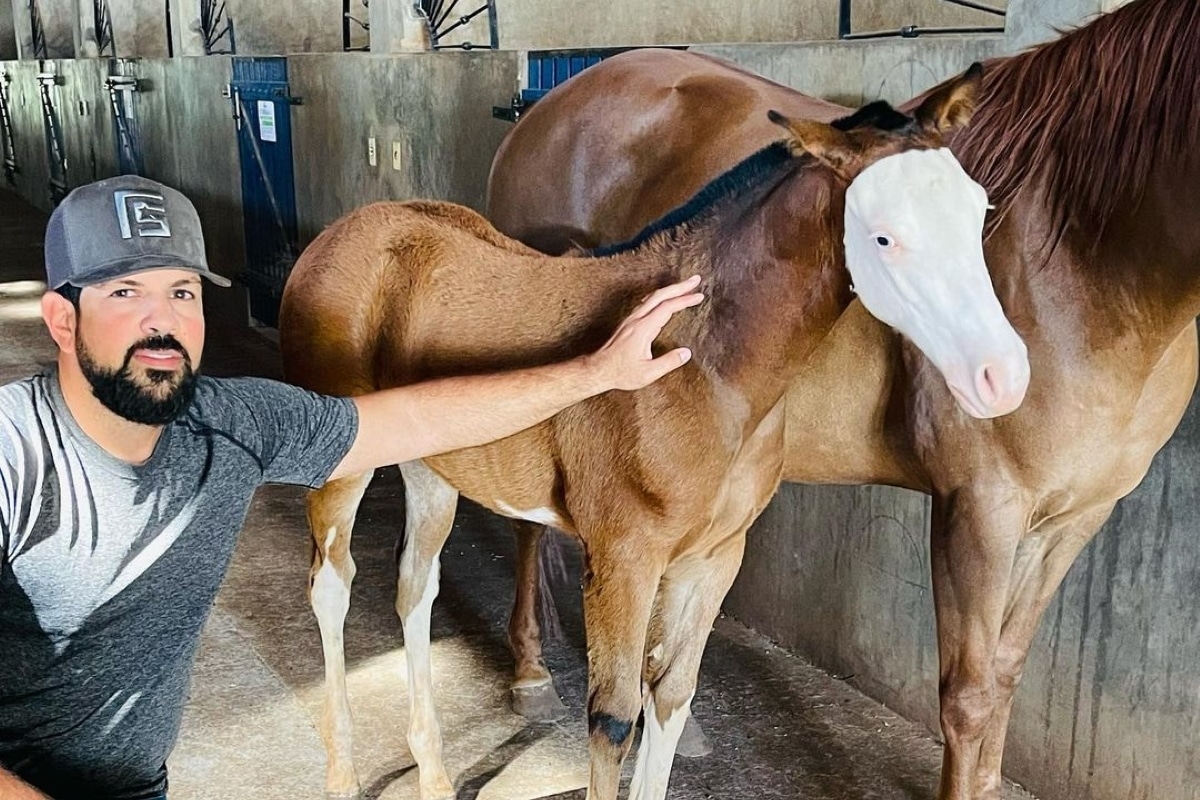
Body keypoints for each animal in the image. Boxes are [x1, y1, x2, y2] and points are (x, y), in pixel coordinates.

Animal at [280, 73, 1032, 800]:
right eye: (882, 236)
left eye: (978, 210)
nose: (1002, 377)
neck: (701, 362)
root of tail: (339, 235)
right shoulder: (625, 557)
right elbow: (614, 718)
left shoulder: (713, 558)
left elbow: (669, 699)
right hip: (340, 462)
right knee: (331, 586)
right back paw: (342, 776)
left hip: (431, 467)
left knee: (415, 587)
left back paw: (434, 777)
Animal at [484, 1, 1200, 800]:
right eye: (885, 237)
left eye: (983, 212)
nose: (1002, 376)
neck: (1082, 261)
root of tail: (549, 102)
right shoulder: (979, 506)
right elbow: (969, 695)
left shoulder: (1075, 518)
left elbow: (1008, 676)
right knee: (526, 527)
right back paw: (530, 673)